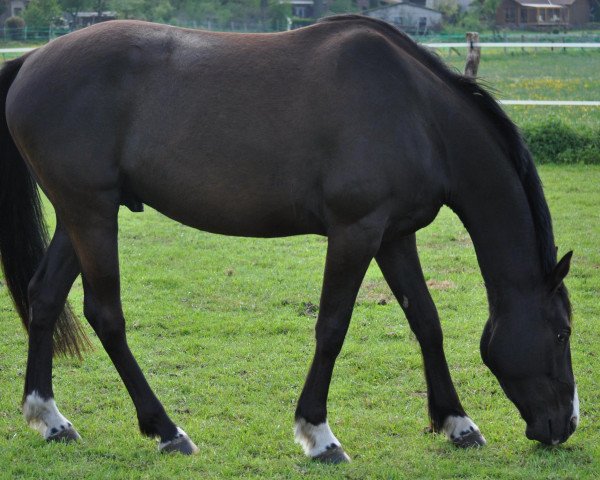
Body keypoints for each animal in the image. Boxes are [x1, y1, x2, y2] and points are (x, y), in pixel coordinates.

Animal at [0, 15, 580, 462]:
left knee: (45, 298)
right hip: (93, 213)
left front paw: (457, 423)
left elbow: (427, 322)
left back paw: (50, 418)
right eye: (561, 334)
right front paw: (319, 435)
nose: (565, 425)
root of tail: (31, 60)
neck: (417, 112)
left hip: (80, 215)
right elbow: (332, 327)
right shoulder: (355, 231)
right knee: (106, 315)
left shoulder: (395, 236)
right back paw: (166, 431)